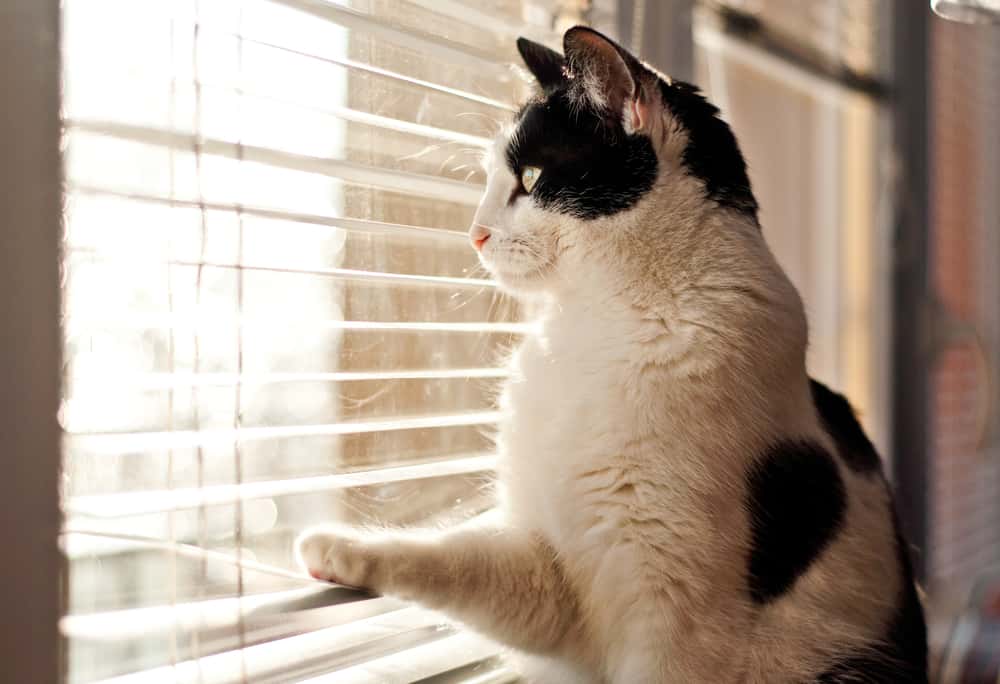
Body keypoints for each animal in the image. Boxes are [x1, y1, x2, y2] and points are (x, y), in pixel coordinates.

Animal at [296, 26, 928, 684]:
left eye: (533, 176)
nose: (474, 234)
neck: (598, 323)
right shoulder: (552, 575)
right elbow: (455, 556)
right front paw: (336, 548)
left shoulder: (672, 625)